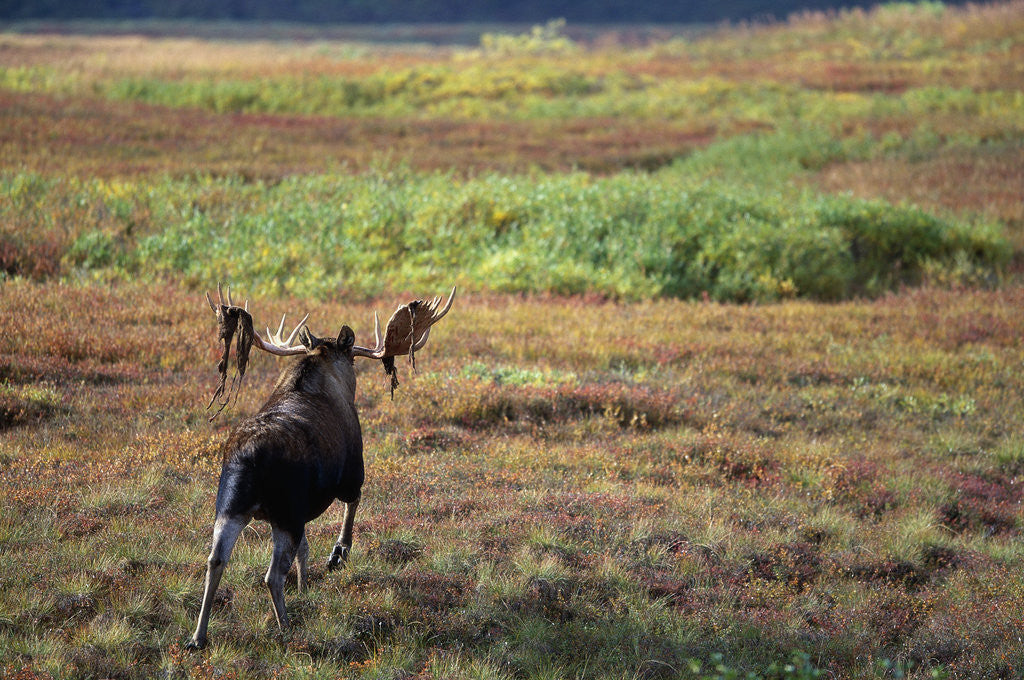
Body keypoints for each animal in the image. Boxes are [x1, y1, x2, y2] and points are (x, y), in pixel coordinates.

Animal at [187, 285, 455, 650]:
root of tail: (248, 457)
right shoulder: (352, 472)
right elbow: (352, 505)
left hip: (229, 506)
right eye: (353, 357)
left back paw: (198, 636)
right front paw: (339, 553)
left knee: (215, 560)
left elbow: (305, 548)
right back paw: (285, 627)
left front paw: (304, 586)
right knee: (272, 574)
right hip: (285, 511)